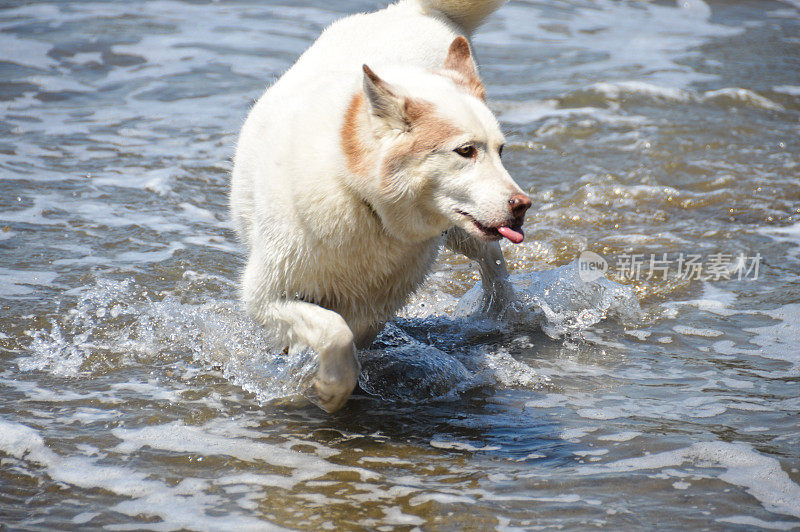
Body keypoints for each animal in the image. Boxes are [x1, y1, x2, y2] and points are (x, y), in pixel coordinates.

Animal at [231, 0, 532, 412]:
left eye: (501, 151)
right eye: (466, 151)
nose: (523, 205)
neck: (360, 198)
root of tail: (414, 10)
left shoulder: (373, 310)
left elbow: (344, 339)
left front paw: (330, 389)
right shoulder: (265, 295)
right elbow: (333, 331)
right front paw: (325, 389)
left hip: (463, 232)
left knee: (492, 260)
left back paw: (500, 314)